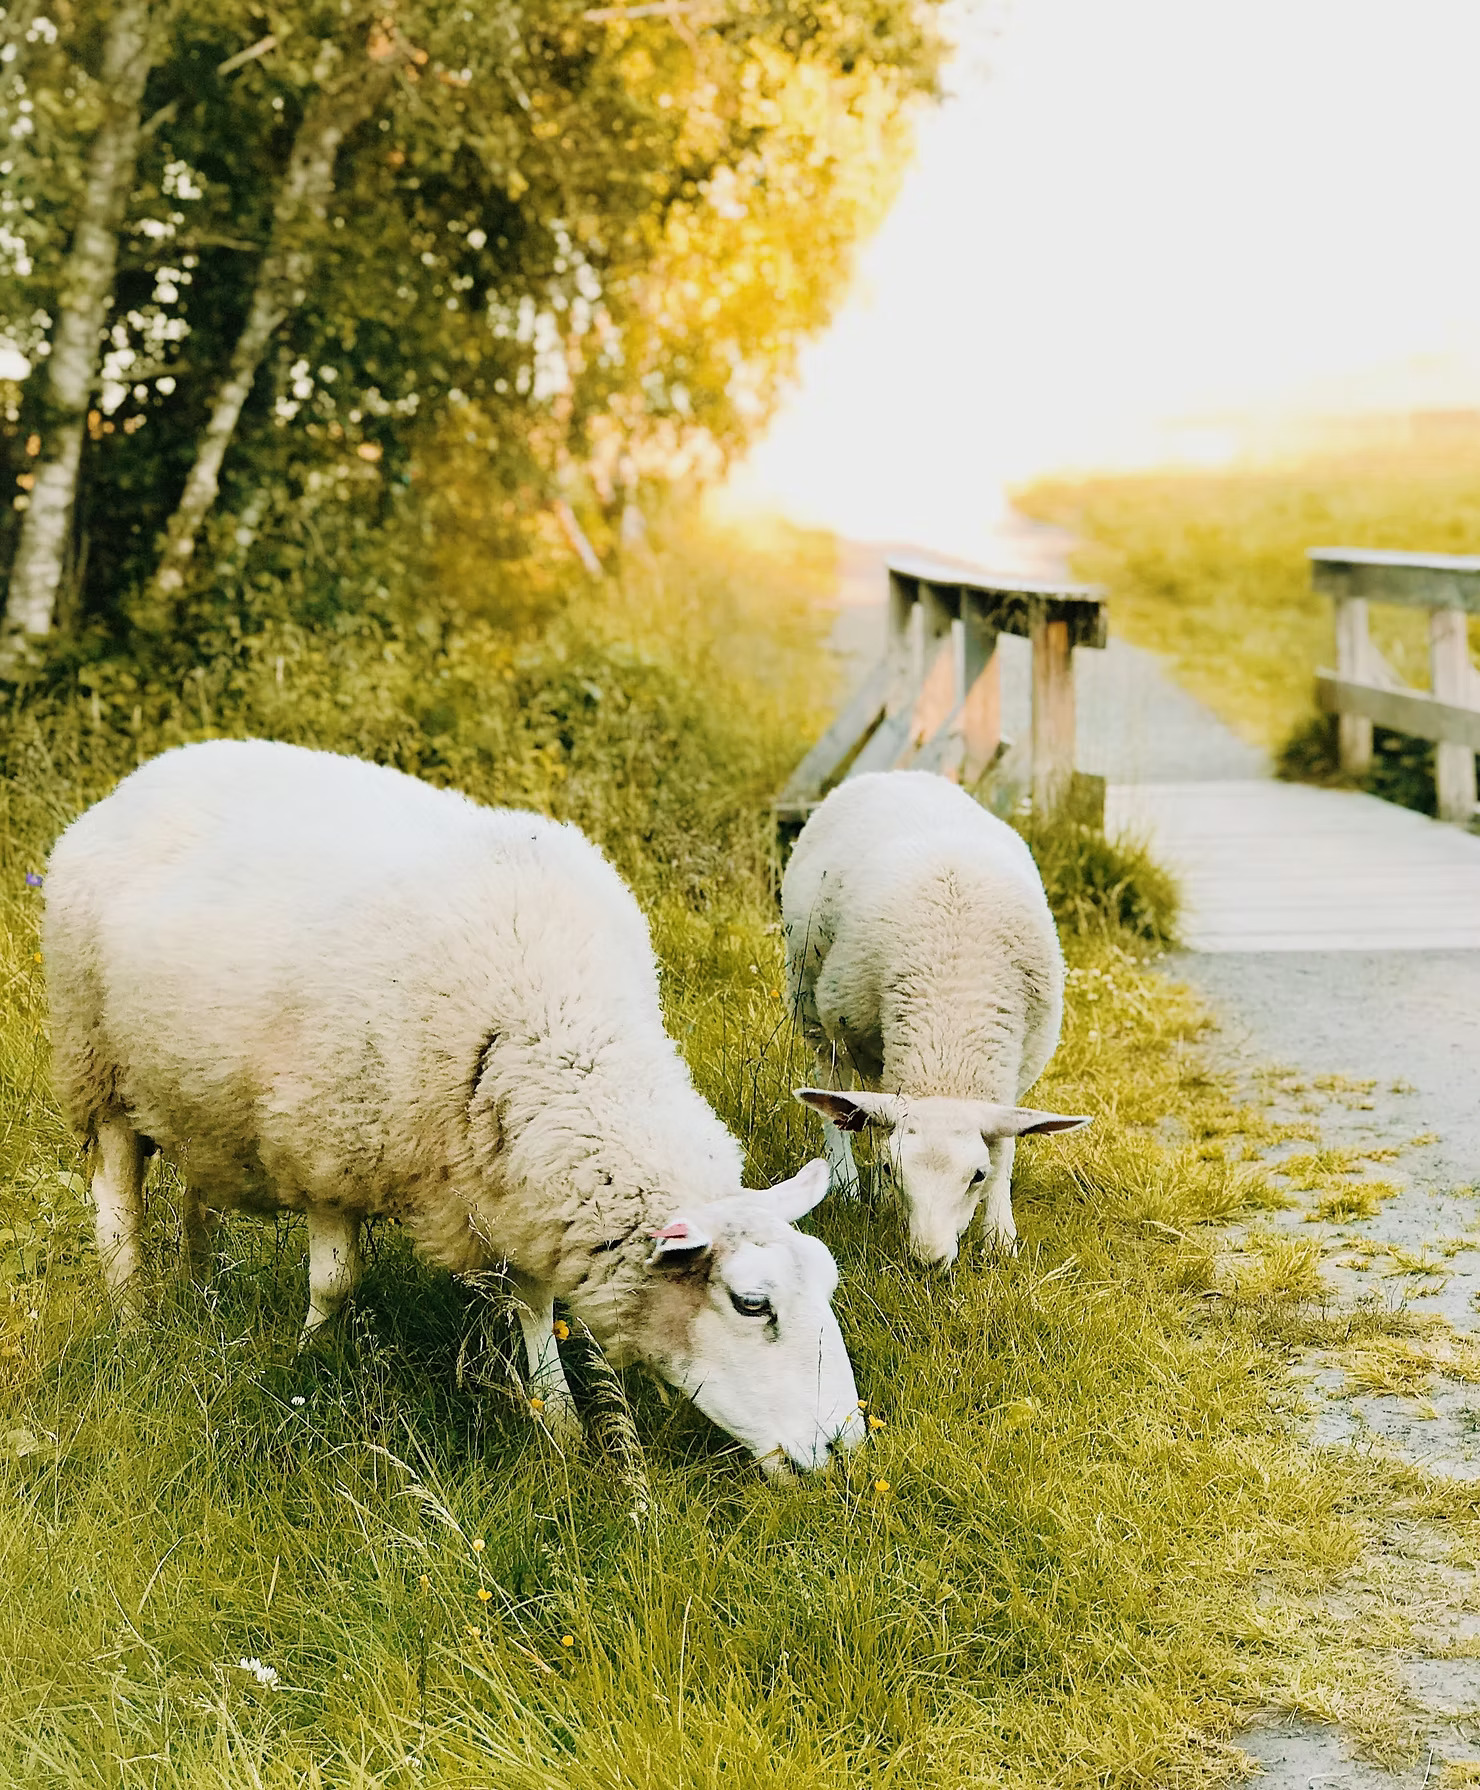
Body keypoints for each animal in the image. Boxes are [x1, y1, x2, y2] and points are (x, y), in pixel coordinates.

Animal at [44, 739, 866, 1478]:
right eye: (752, 1304)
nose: (844, 1449)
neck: (556, 1022)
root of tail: (148, 773)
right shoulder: (331, 1146)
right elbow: (334, 1283)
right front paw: (308, 1362)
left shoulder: (520, 1181)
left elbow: (535, 1306)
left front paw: (559, 1425)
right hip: (97, 1065)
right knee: (118, 1204)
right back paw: (133, 1313)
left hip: (192, 1095)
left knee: (196, 1193)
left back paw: (202, 1285)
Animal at [782, 769, 1090, 1267]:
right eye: (894, 1169)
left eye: (977, 1175)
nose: (927, 1261)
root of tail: (897, 773)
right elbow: (870, 1118)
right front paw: (882, 1193)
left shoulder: (1015, 1070)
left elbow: (1006, 1143)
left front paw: (1000, 1235)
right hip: (810, 995)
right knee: (833, 1081)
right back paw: (847, 1181)